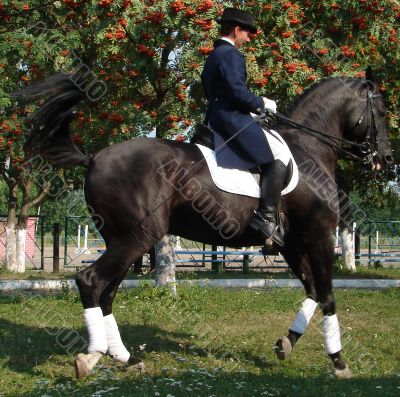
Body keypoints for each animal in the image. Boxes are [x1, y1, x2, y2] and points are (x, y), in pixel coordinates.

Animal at [17, 70, 392, 378]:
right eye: (382, 112)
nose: (386, 159)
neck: (308, 149)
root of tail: (93, 157)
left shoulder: (293, 243)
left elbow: (313, 291)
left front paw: (286, 343)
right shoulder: (318, 235)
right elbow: (327, 294)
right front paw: (339, 362)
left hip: (123, 240)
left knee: (106, 292)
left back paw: (125, 358)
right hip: (135, 238)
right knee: (90, 281)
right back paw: (92, 356)